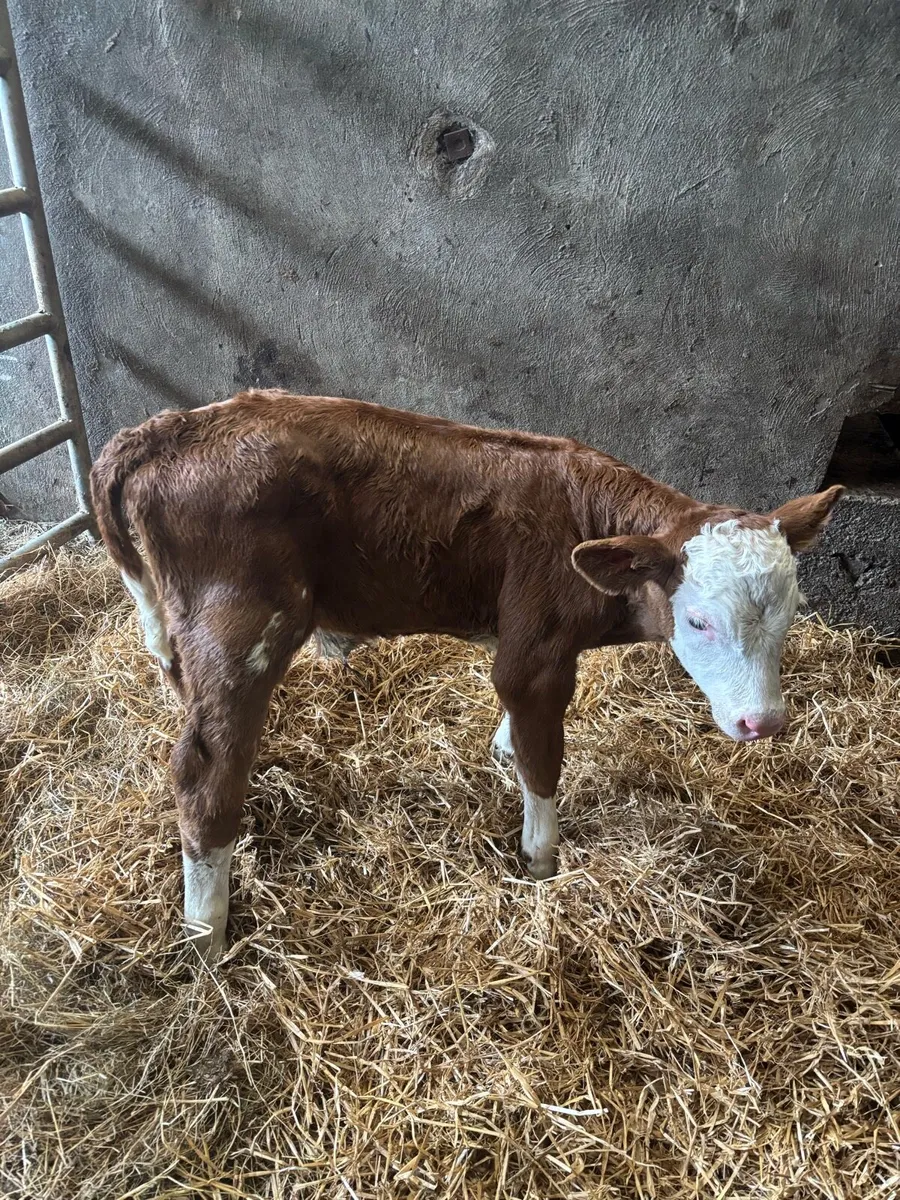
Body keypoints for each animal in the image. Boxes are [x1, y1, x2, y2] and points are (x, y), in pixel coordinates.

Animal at [90, 390, 844, 961]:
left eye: (792, 612)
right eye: (698, 622)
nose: (762, 722)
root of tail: (170, 428)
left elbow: (517, 742)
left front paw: (502, 751)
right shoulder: (534, 656)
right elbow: (542, 760)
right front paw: (541, 864)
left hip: (186, 634)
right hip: (243, 627)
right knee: (202, 772)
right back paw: (206, 935)